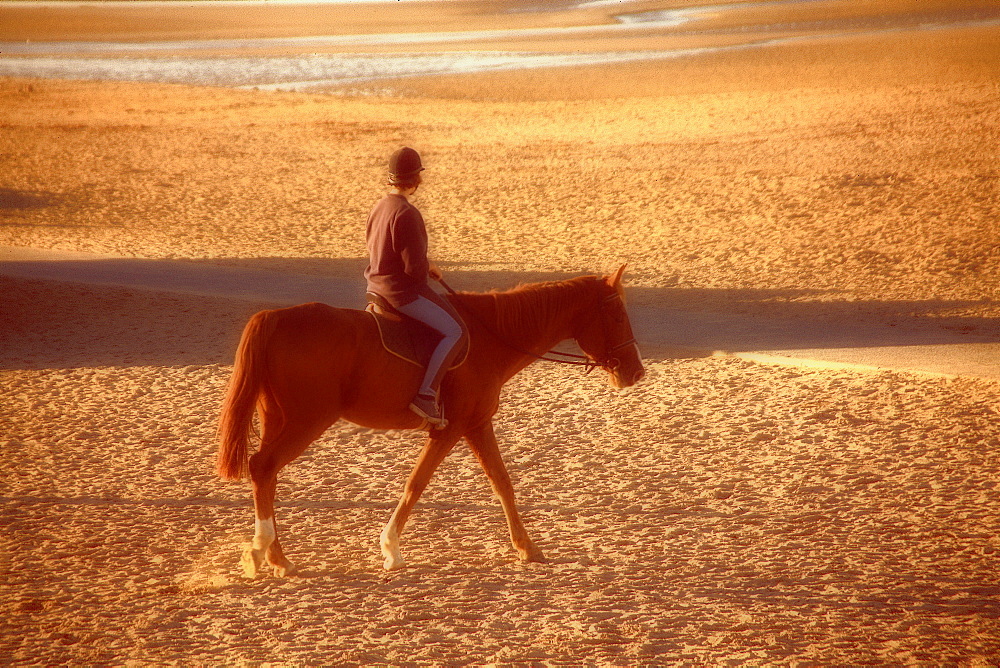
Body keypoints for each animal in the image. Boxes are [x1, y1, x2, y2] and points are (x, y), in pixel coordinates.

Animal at [215, 264, 644, 576]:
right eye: (618, 316)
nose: (636, 373)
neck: (490, 337)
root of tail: (274, 317)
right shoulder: (451, 429)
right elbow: (416, 483)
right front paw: (391, 550)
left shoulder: (477, 425)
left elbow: (502, 484)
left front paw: (527, 547)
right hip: (306, 421)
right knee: (263, 466)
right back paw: (265, 552)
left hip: (279, 419)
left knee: (267, 476)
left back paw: (276, 556)